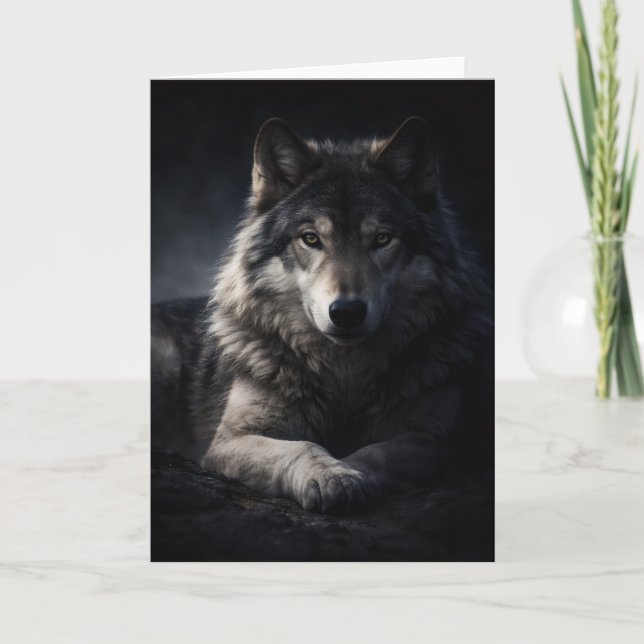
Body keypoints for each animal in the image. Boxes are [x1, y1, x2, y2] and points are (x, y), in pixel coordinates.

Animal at [151, 116, 492, 513]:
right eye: (311, 239)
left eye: (382, 239)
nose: (346, 312)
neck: (344, 376)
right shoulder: (227, 443)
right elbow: (302, 447)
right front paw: (329, 475)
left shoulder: (441, 441)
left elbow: (377, 452)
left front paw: (347, 473)